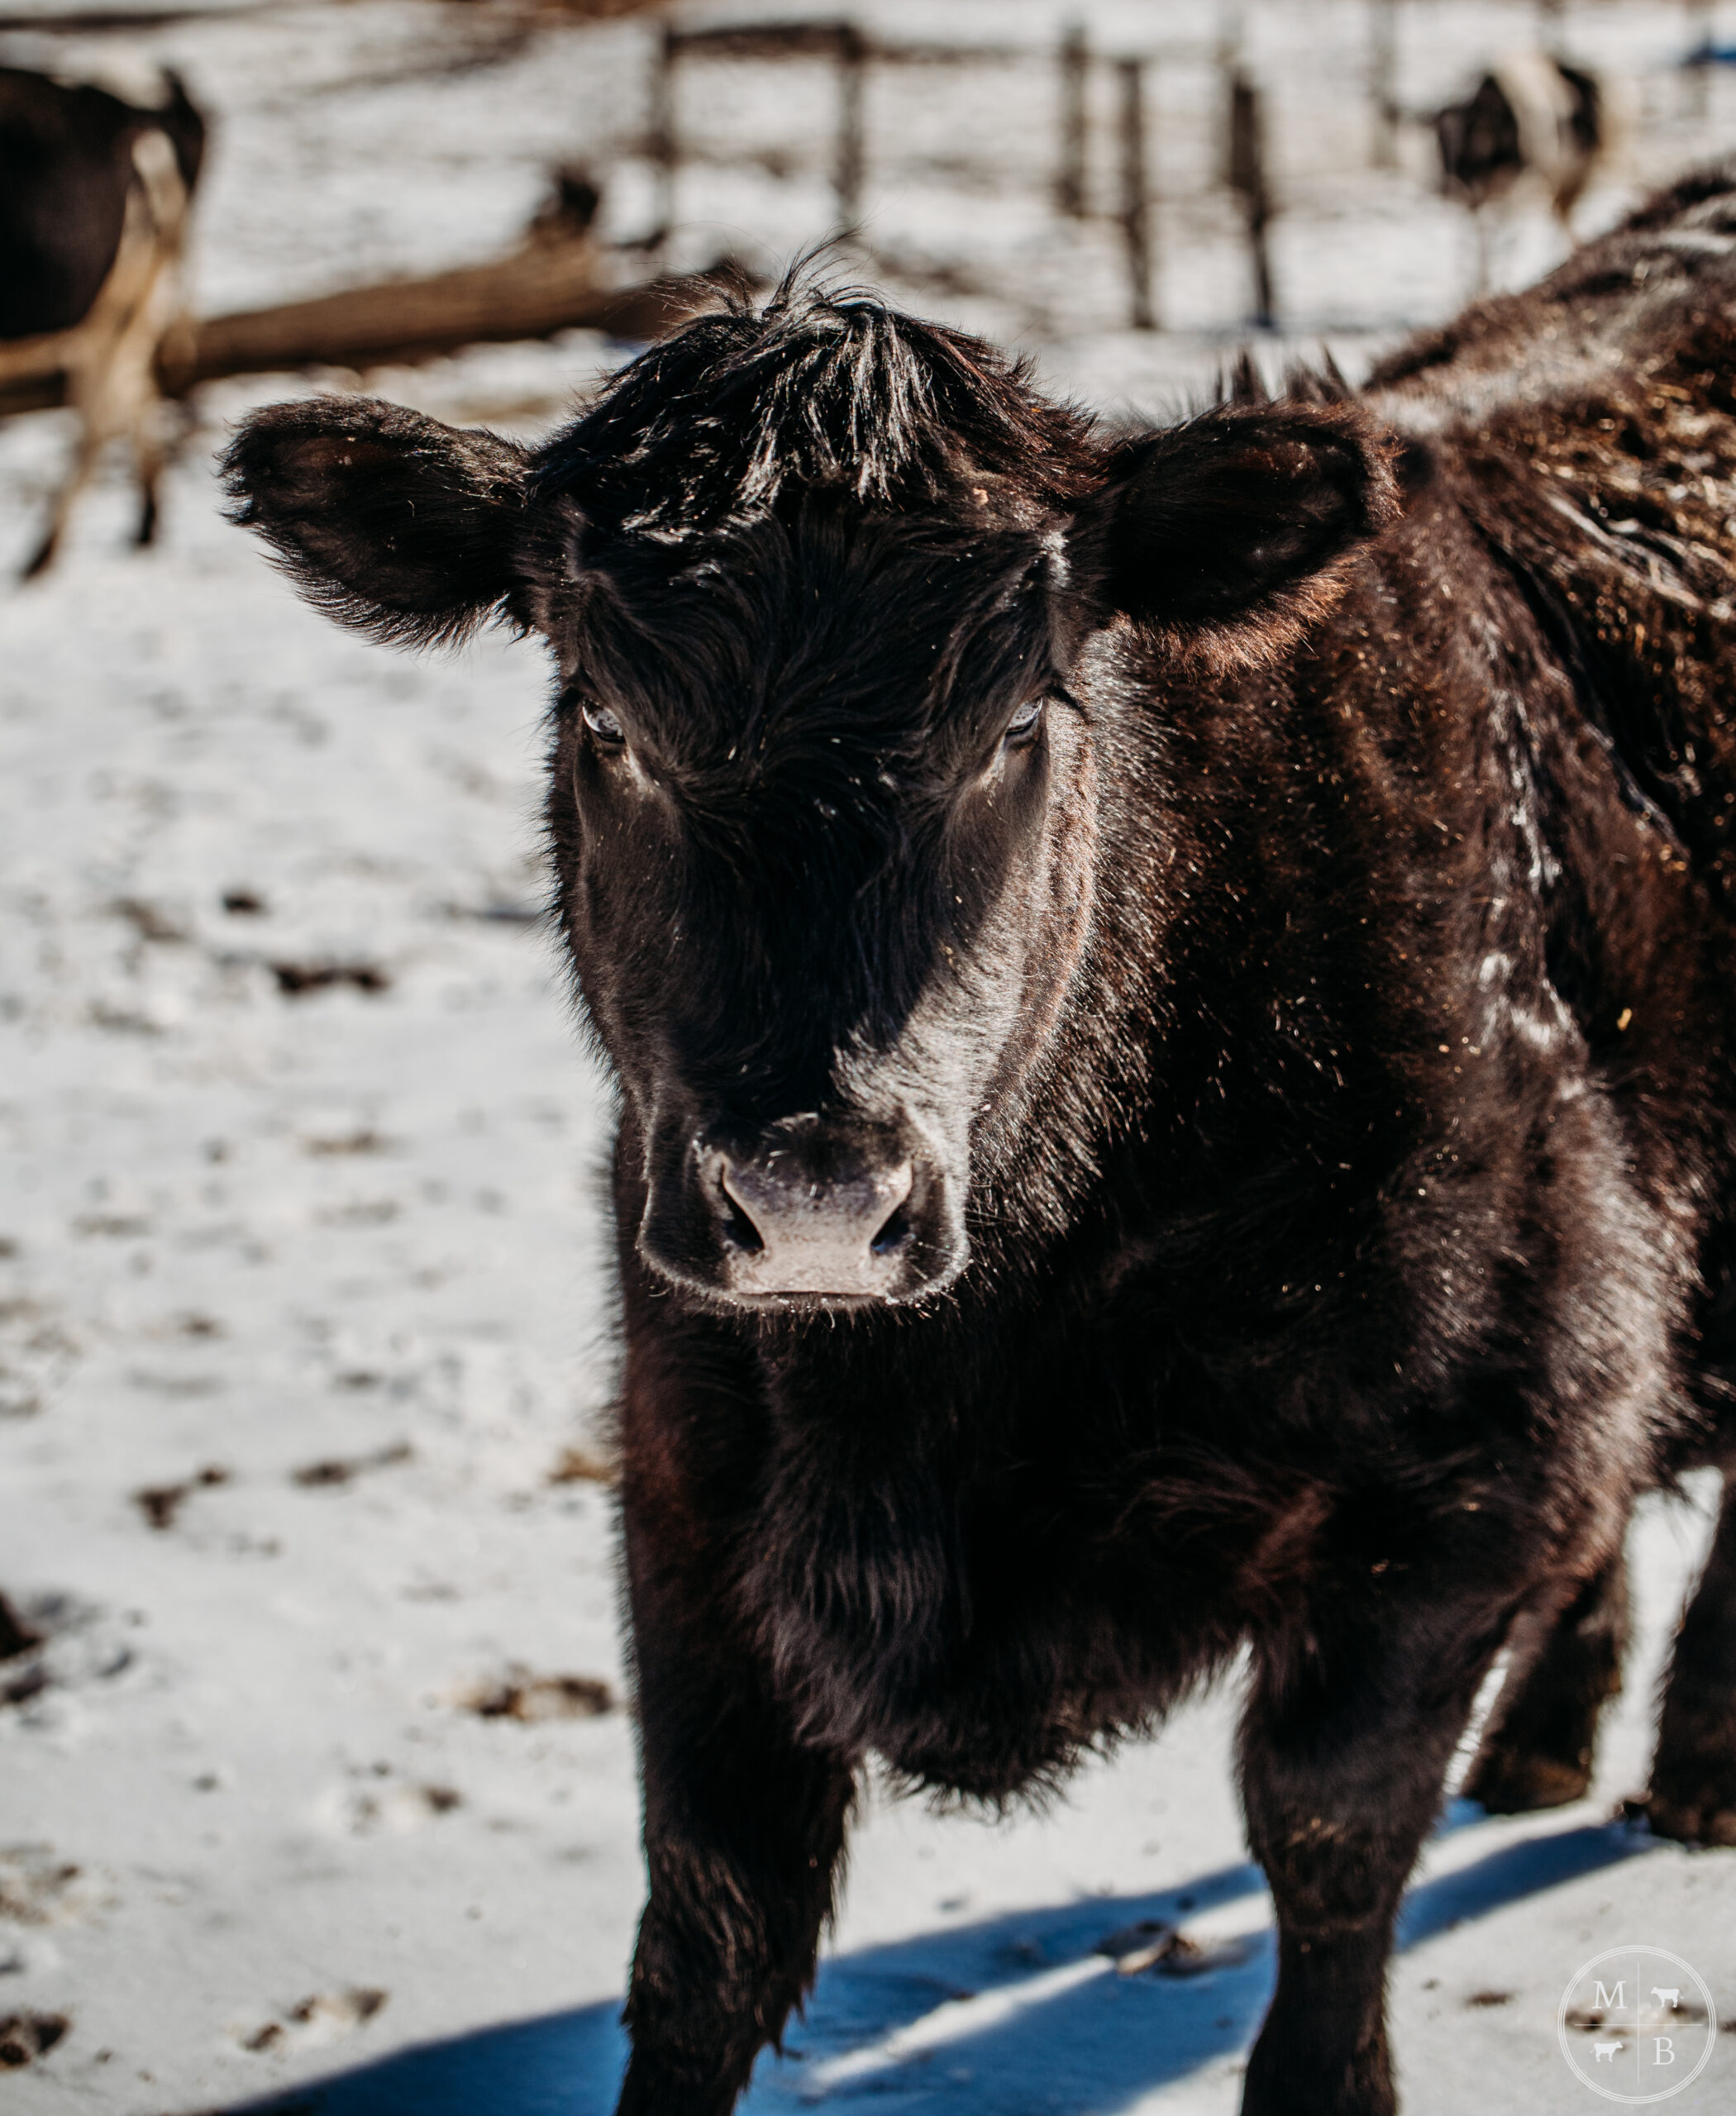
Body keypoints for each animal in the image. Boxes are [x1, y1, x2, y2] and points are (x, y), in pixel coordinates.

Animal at [0, 59, 205, 577]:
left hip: (112, 305)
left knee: (97, 415)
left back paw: (42, 555)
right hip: (116, 307)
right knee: (129, 390)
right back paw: (146, 523)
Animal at [220, 162, 1736, 2116]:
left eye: (1020, 716)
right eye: (605, 723)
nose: (811, 1197)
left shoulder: (1458, 1484)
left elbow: (1328, 1851)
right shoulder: (690, 1470)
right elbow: (710, 1920)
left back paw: (1691, 1764)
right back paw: (1546, 1743)